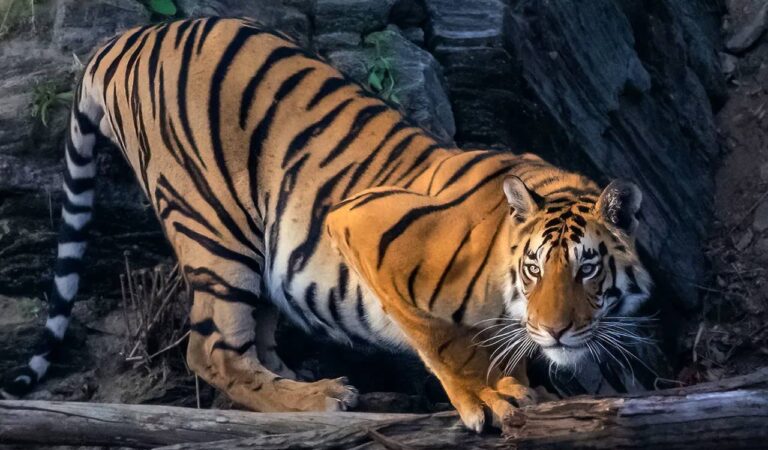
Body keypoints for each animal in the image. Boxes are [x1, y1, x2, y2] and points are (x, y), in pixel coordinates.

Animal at [2, 17, 652, 431]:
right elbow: (442, 338)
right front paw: (486, 398)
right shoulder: (366, 227)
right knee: (212, 350)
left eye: (587, 269)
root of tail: (126, 38)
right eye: (534, 267)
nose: (556, 331)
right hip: (215, 227)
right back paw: (322, 399)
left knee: (252, 340)